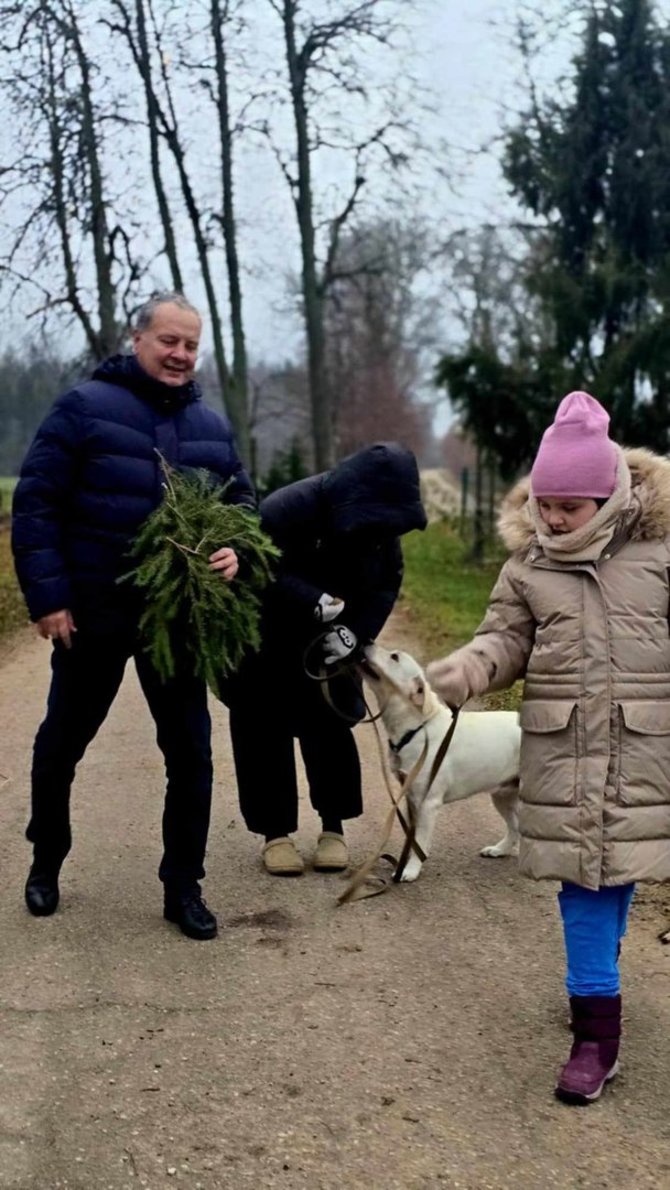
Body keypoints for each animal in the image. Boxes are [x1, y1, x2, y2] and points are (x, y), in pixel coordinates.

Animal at [361, 642, 523, 885]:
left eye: (394, 657)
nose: (366, 642)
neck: (417, 728)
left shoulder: (428, 803)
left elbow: (420, 841)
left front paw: (410, 870)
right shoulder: (411, 798)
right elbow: (411, 839)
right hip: (502, 795)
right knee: (514, 827)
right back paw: (499, 850)